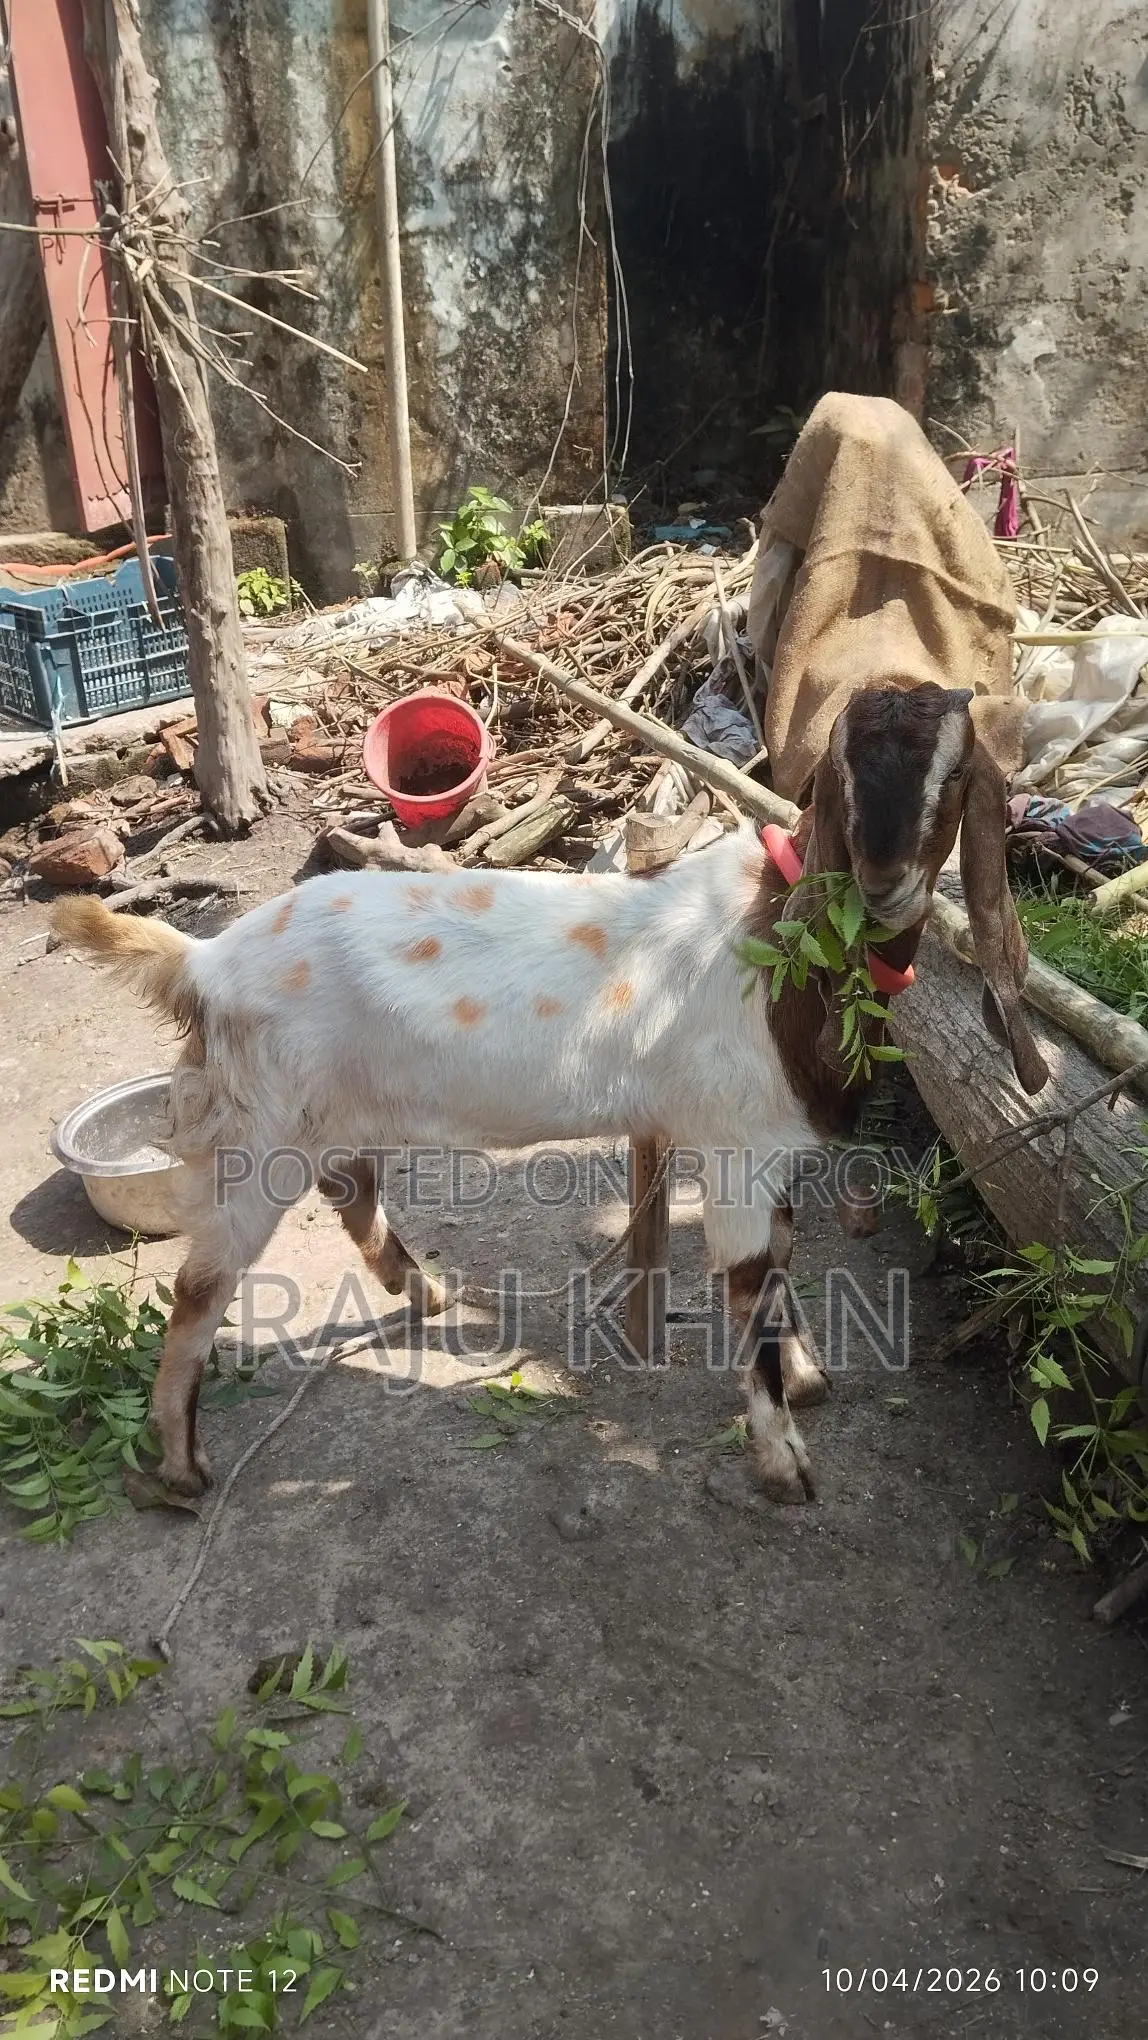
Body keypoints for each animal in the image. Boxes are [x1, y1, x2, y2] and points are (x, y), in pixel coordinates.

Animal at [54, 682, 1044, 1507]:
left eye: (956, 773)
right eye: (841, 772)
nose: (881, 887)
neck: (775, 939)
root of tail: (203, 961)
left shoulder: (763, 1147)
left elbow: (783, 1260)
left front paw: (805, 1376)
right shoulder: (731, 1147)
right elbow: (750, 1292)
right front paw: (783, 1460)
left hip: (325, 1117)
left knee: (353, 1195)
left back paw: (426, 1295)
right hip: (254, 1138)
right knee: (198, 1289)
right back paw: (181, 1468)